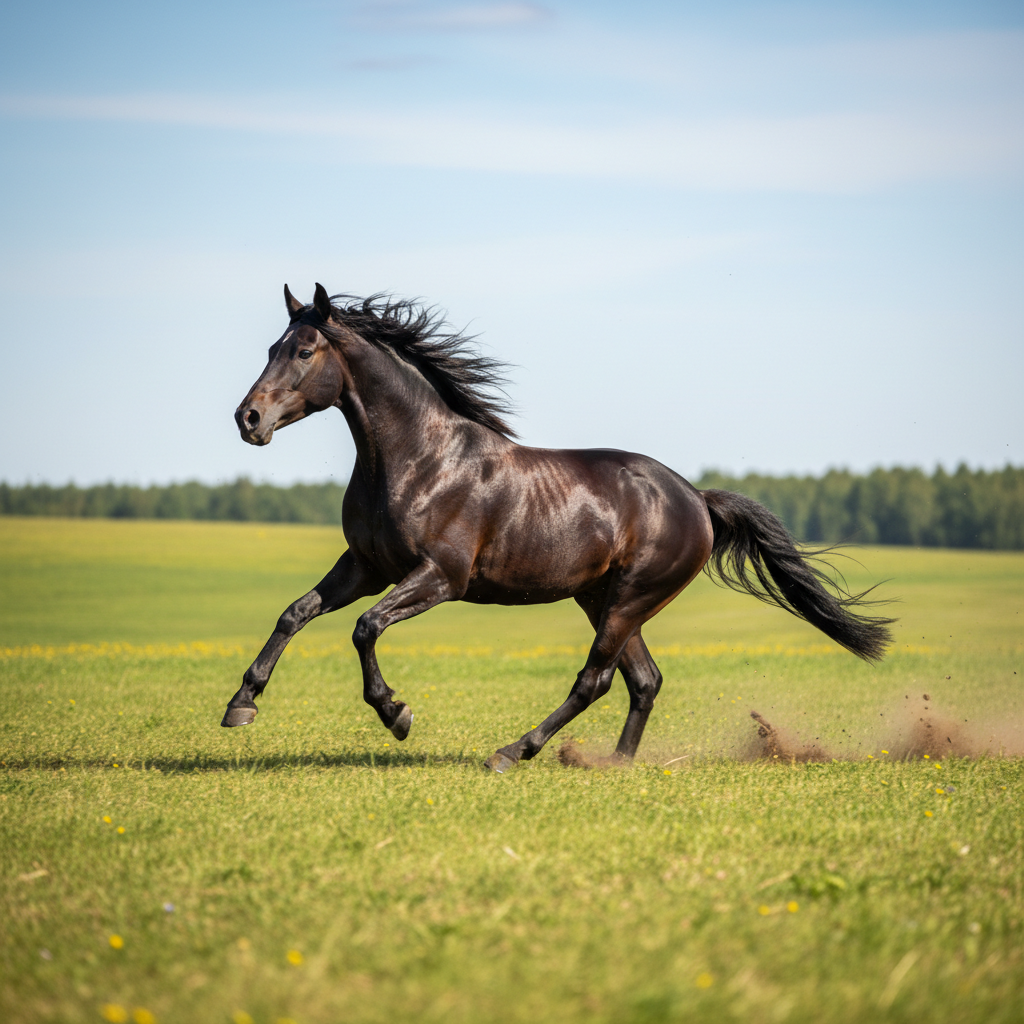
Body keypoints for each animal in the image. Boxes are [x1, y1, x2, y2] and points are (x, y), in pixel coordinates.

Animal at [222, 284, 893, 772]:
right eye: (270, 349)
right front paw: (240, 706)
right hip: (602, 599)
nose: (247, 419)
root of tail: (696, 499)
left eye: (304, 351)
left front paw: (397, 715)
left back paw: (512, 752)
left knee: (596, 679)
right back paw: (614, 764)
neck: (418, 459)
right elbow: (295, 613)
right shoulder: (364, 566)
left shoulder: (439, 577)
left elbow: (365, 628)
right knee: (644, 680)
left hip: (630, 598)